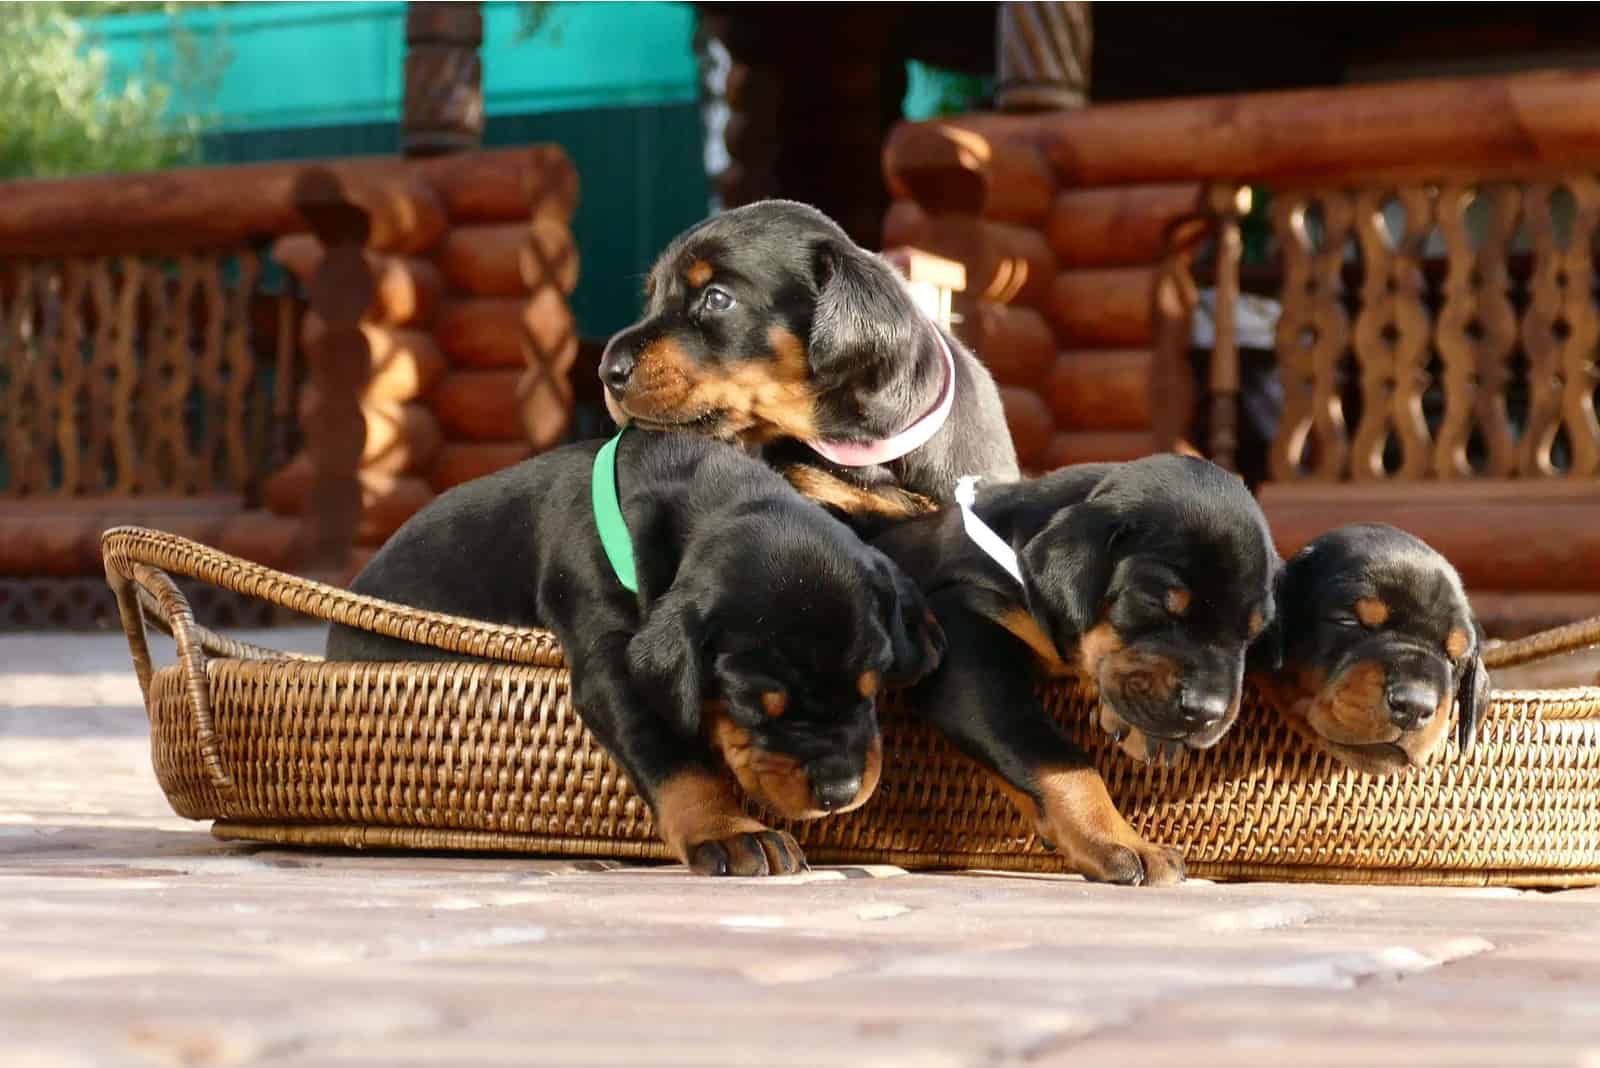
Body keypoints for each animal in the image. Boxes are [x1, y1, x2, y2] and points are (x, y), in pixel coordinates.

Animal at [329, 431, 940, 876]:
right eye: (751, 705)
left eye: (872, 688)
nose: (841, 791)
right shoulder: (611, 658)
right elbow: (670, 752)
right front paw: (728, 830)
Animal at [870, 454, 1280, 882]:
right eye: (1155, 603)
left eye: (1253, 631)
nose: (1206, 712)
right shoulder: (962, 630)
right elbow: (1054, 754)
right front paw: (1119, 838)